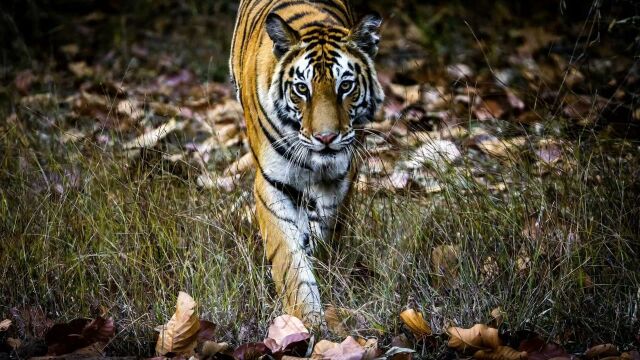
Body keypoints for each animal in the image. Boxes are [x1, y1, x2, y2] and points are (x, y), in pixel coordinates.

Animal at [229, 0, 382, 324]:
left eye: (345, 86)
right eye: (302, 88)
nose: (326, 138)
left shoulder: (343, 174)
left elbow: (327, 223)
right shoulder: (272, 184)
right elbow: (288, 259)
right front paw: (306, 319)